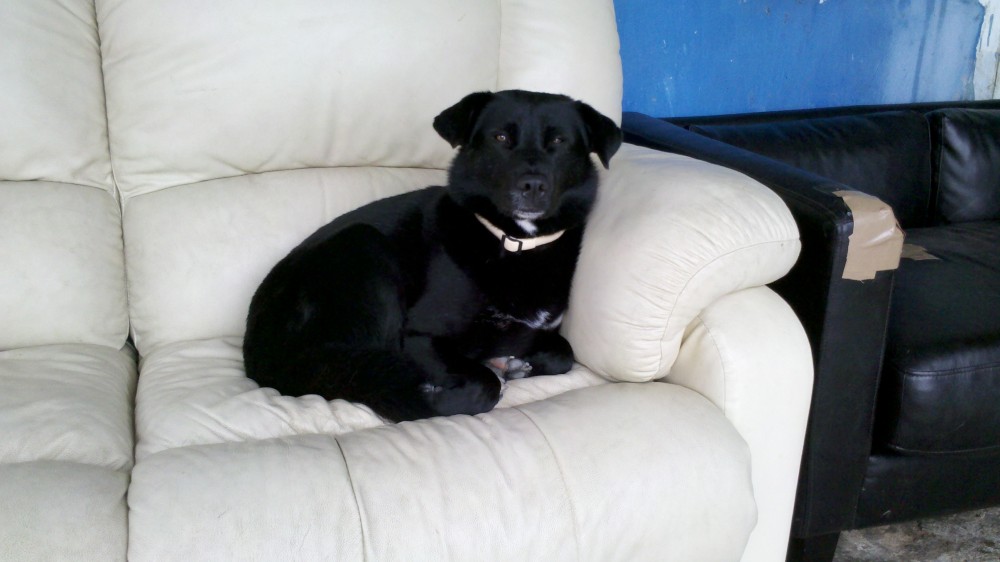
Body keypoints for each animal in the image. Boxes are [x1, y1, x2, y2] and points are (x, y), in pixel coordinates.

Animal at [243, 90, 622, 422]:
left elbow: (564, 354)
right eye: (500, 137)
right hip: (364, 246)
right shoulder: (419, 336)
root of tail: (261, 356)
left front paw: (516, 362)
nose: (532, 186)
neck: (513, 242)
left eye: (559, 141)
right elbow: (485, 385)